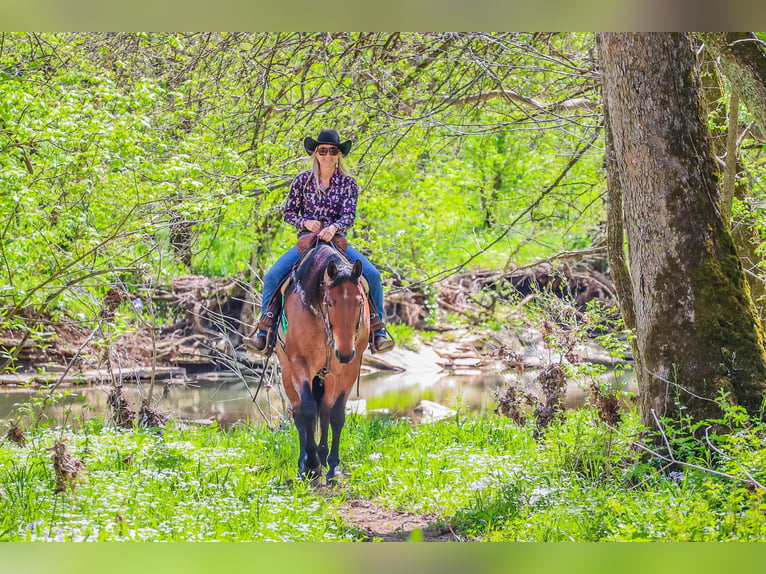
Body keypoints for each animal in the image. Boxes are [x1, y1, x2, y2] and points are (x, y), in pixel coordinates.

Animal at [276, 241, 372, 484]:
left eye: (360, 302)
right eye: (329, 302)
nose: (344, 352)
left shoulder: (349, 368)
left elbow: (336, 415)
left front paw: (333, 467)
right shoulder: (299, 362)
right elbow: (308, 409)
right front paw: (311, 465)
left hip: (329, 374)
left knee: (326, 410)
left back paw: (322, 455)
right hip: (287, 371)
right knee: (298, 411)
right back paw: (304, 464)